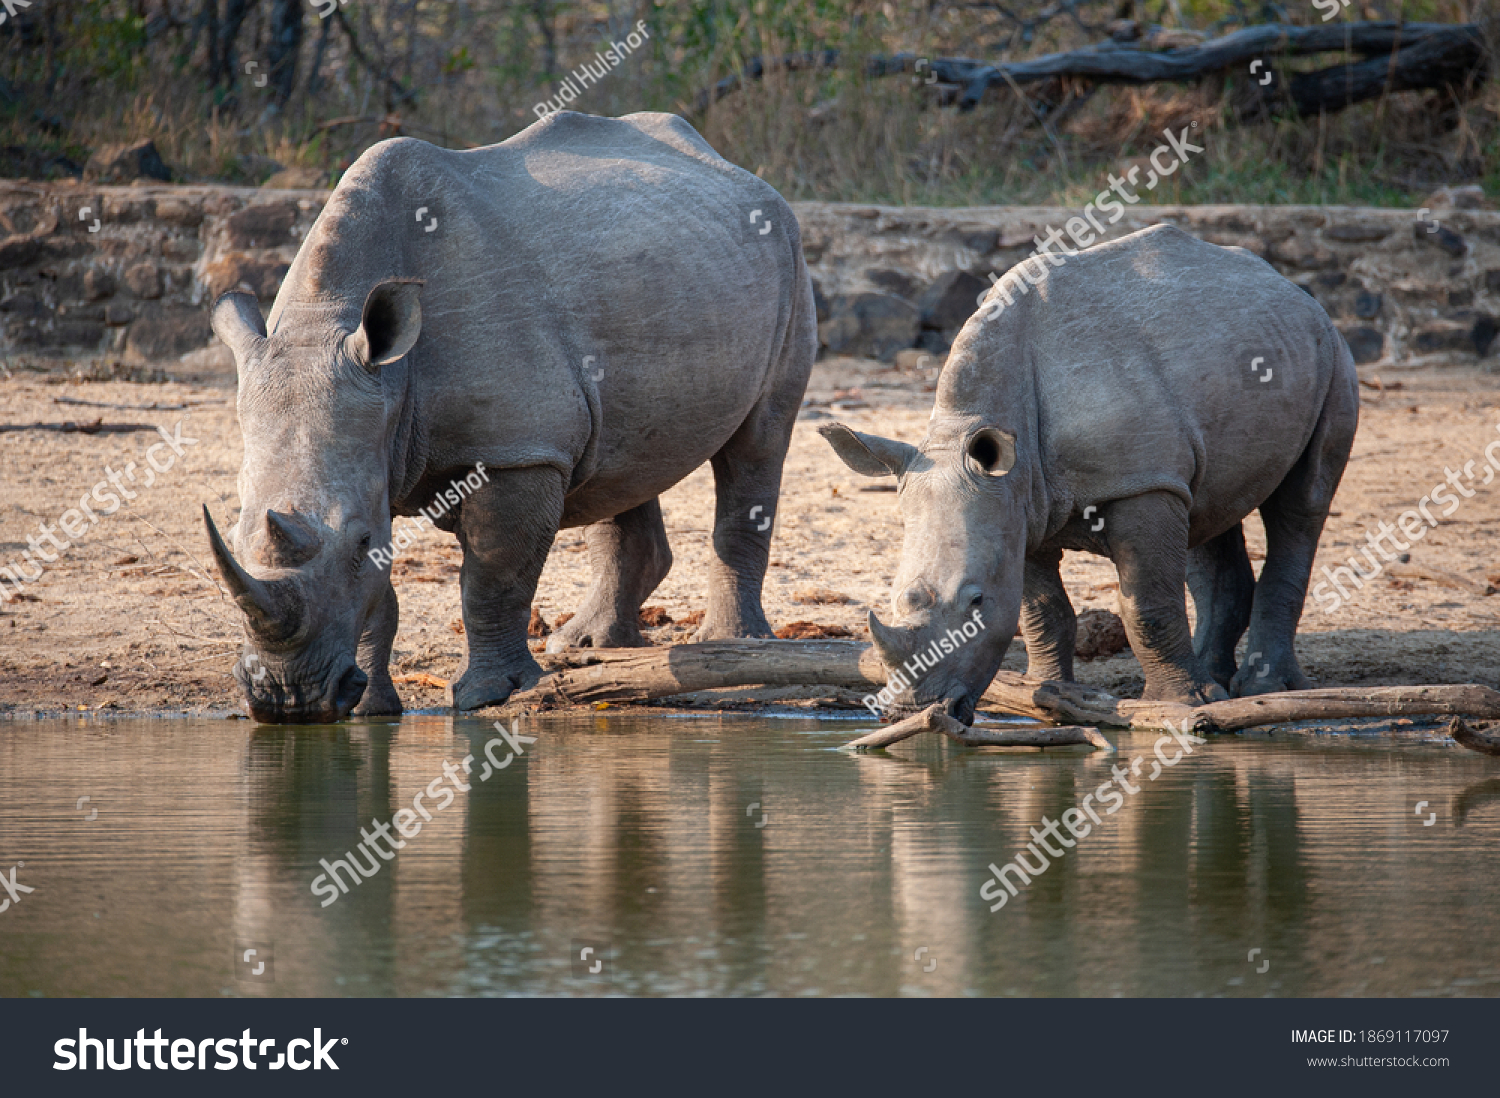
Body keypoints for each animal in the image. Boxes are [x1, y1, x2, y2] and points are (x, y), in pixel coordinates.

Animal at [205, 111, 816, 726]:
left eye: (359, 541)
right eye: (233, 539)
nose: (287, 699)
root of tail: (736, 170)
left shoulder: (518, 451)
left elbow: (492, 581)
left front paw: (490, 696)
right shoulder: (377, 444)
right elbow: (382, 598)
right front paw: (372, 712)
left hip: (788, 253)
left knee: (759, 441)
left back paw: (731, 646)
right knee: (625, 462)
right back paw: (589, 646)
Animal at [822, 223, 1362, 720]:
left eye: (976, 601)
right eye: (899, 598)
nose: (911, 711)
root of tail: (1291, 287)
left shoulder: (1135, 486)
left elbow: (1146, 605)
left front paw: (1179, 704)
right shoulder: (1020, 501)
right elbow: (1040, 612)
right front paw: (1044, 694)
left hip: (1333, 353)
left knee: (1302, 505)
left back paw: (1258, 689)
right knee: (1207, 511)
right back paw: (1218, 685)